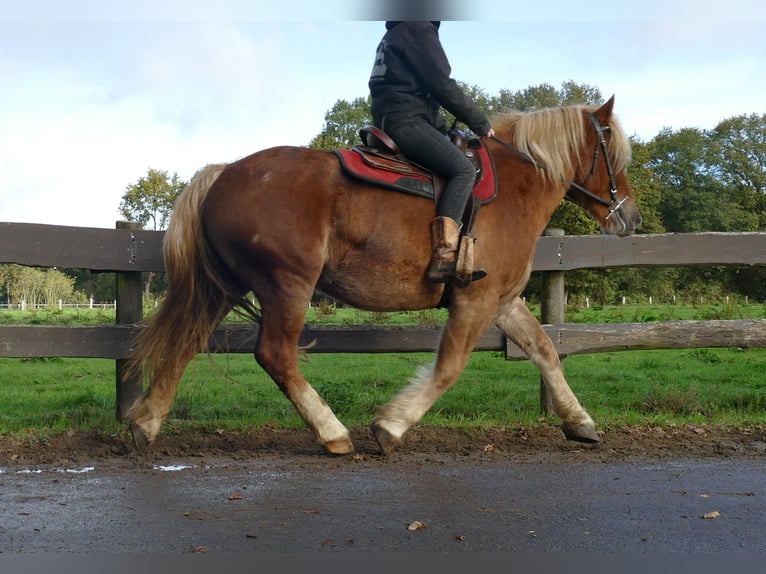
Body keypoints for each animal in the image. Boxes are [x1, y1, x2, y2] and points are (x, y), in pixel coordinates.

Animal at [126, 96, 642, 455]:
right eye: (614, 155)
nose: (631, 218)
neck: (516, 185)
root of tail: (224, 173)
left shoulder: (502, 299)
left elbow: (545, 350)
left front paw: (579, 421)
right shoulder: (476, 300)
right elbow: (449, 366)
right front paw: (391, 425)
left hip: (226, 287)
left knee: (187, 343)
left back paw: (146, 422)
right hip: (287, 285)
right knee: (275, 355)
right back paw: (333, 433)